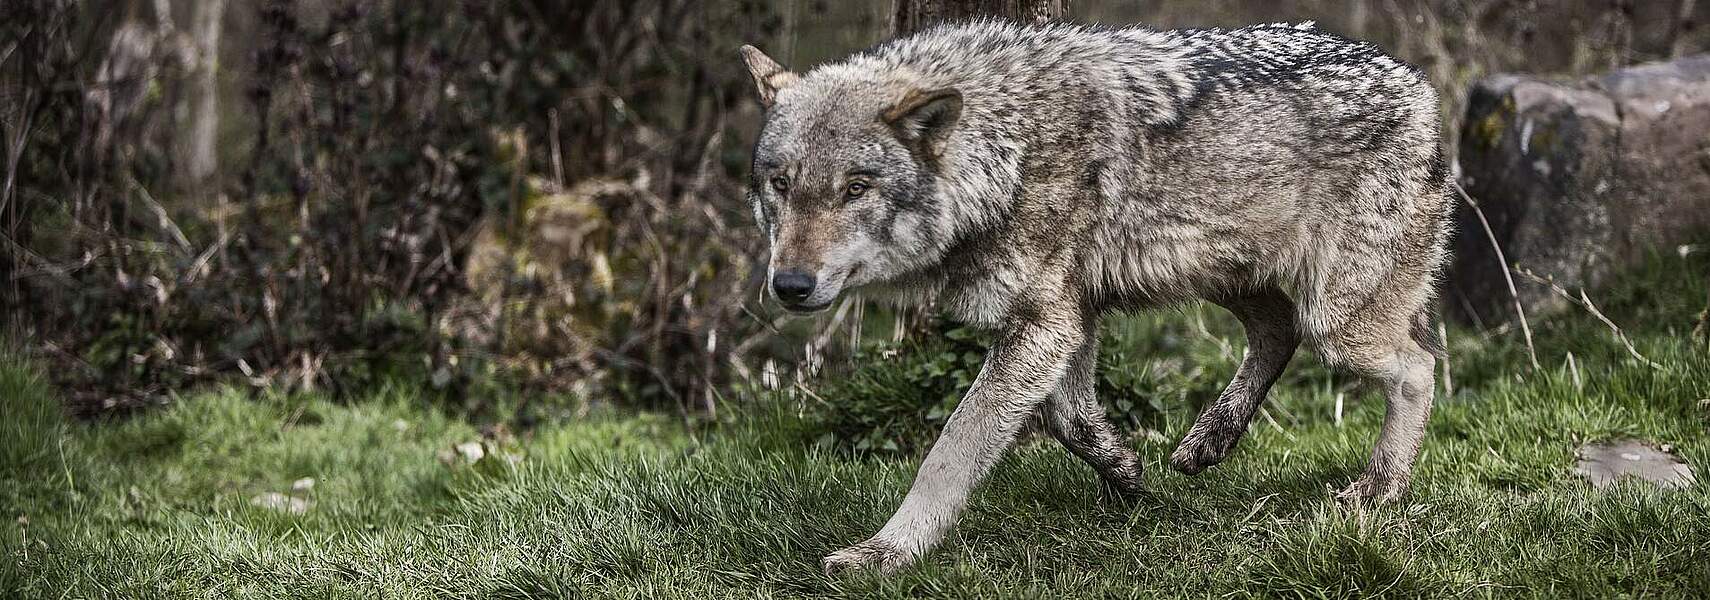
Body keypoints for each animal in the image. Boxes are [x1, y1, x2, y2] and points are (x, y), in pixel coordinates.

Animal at [742, 16, 1450, 574]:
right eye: (780, 185)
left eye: (856, 188)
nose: (790, 285)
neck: (1007, 147)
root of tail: (1420, 87)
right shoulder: (1068, 317)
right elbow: (1071, 420)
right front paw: (1127, 473)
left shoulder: (1045, 325)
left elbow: (950, 451)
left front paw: (886, 552)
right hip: (1225, 277)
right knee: (1279, 331)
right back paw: (1209, 440)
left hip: (1335, 319)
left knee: (1418, 365)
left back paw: (1379, 489)